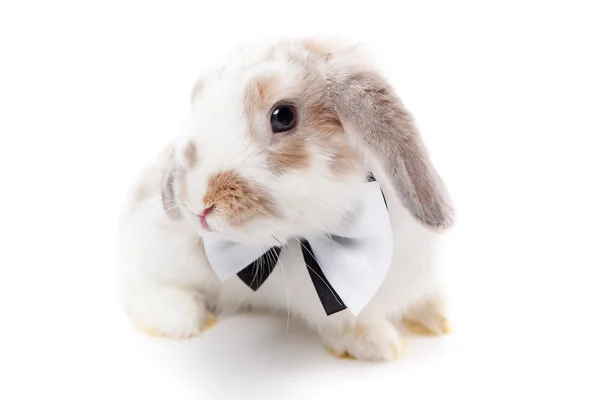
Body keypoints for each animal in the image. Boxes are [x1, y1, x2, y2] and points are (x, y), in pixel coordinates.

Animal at [116, 38, 454, 362]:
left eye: (283, 116)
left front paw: (439, 318)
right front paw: (379, 345)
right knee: (137, 285)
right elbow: (350, 322)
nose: (197, 203)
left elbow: (424, 300)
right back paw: (178, 316)